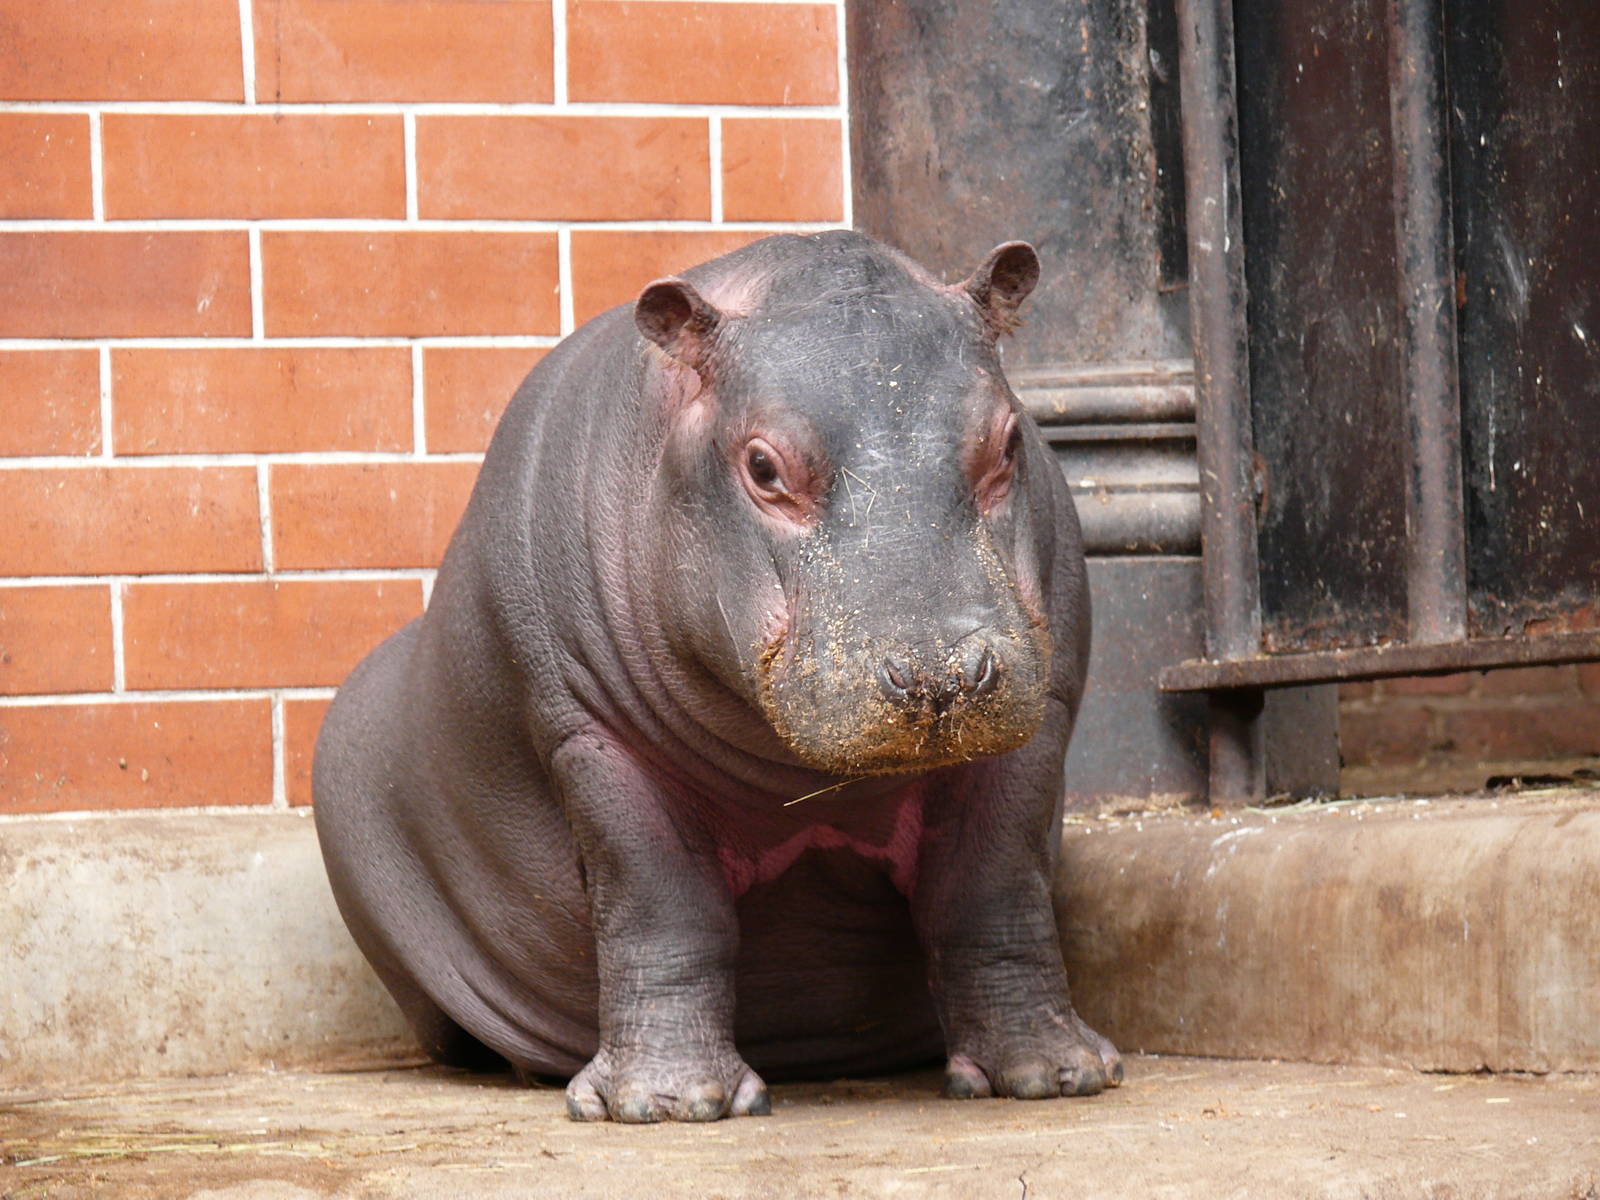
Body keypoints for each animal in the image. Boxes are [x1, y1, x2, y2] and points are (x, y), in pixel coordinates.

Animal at [313, 230, 1120, 1123]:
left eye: (1009, 441)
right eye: (763, 467)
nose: (939, 674)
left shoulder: (1039, 722)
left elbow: (994, 892)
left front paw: (1051, 1074)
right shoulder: (593, 739)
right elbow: (665, 911)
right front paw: (664, 1104)